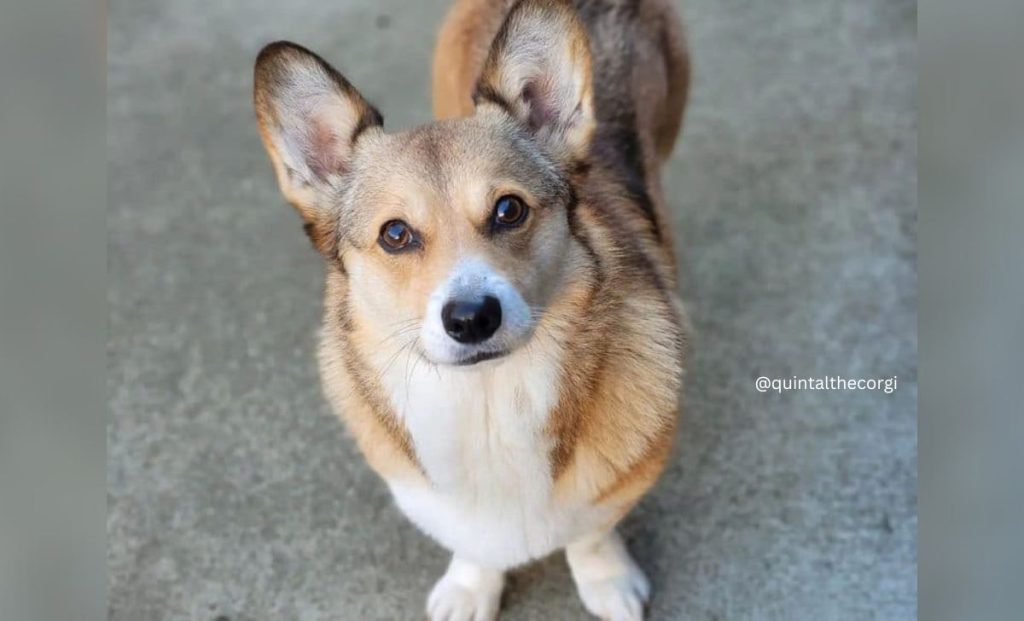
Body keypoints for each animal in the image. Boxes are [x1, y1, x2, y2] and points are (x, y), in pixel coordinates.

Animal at [251, 0, 692, 618]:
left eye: (509, 209)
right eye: (395, 235)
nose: (471, 319)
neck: (487, 402)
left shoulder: (620, 483)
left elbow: (589, 531)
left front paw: (606, 580)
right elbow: (473, 542)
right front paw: (470, 589)